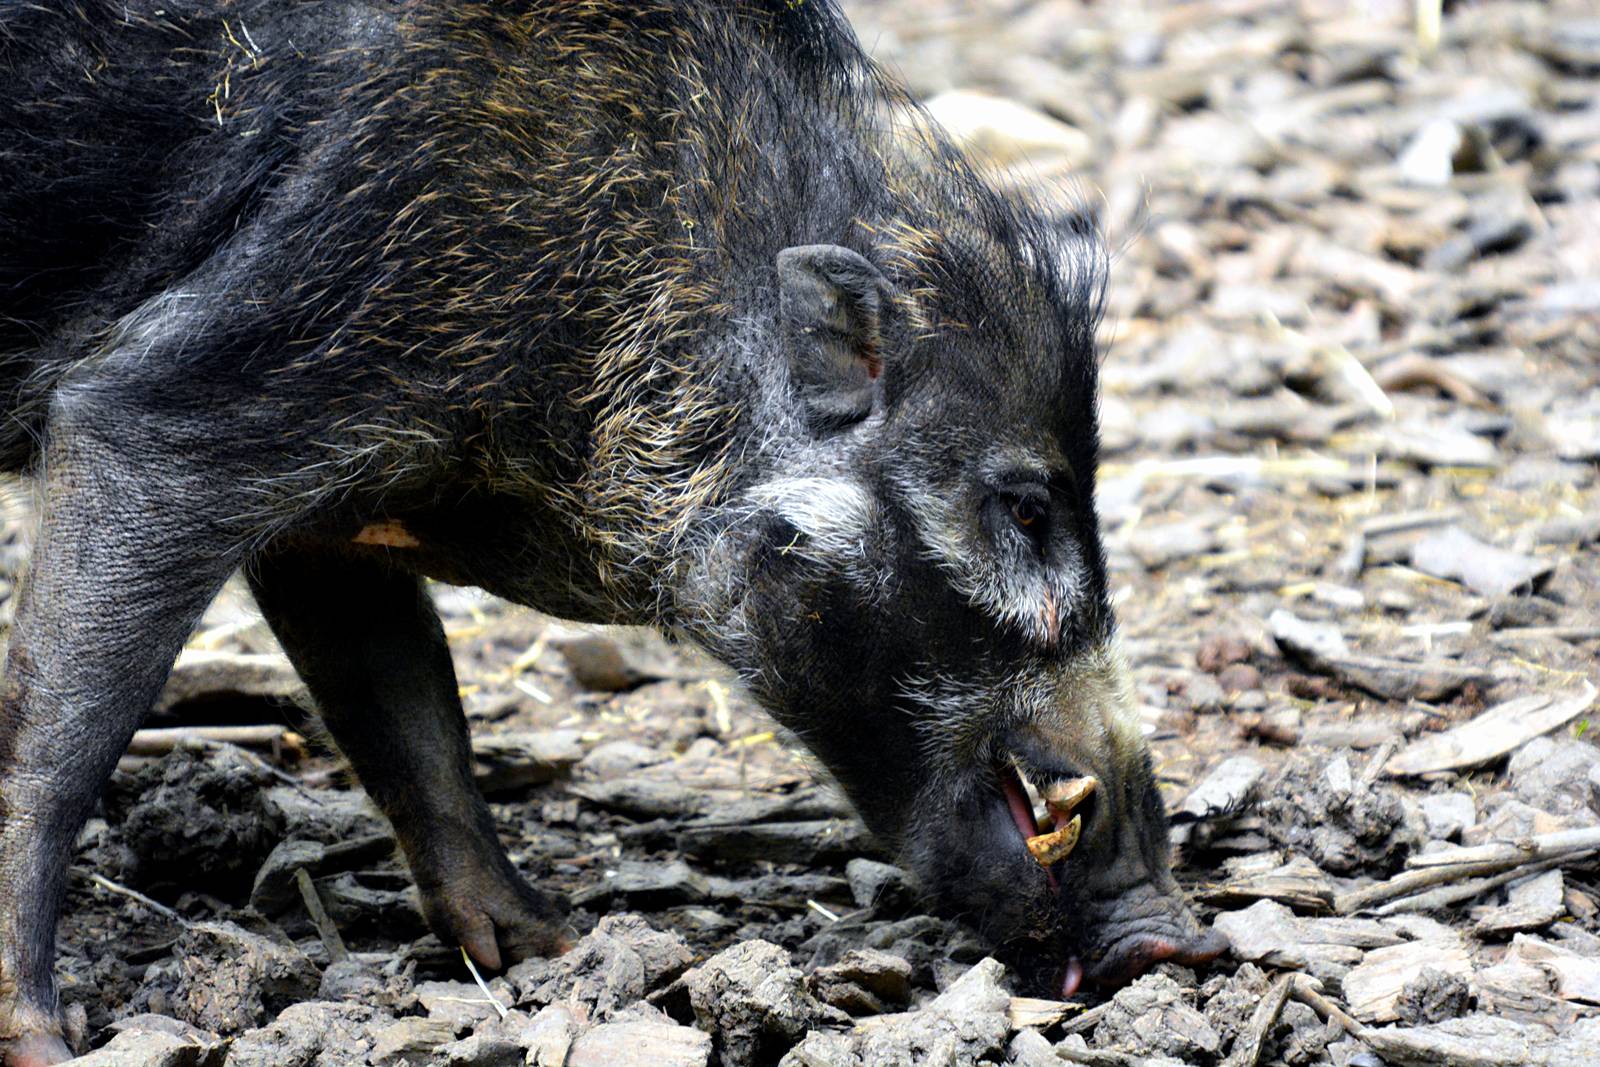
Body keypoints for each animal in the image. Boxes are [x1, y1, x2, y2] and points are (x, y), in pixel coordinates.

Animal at [0, 1, 1224, 1061]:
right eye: (1024, 505)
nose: (1181, 937)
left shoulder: (334, 520)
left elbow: (415, 713)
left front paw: (550, 944)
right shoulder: (196, 393)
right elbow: (58, 739)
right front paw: (41, 1043)